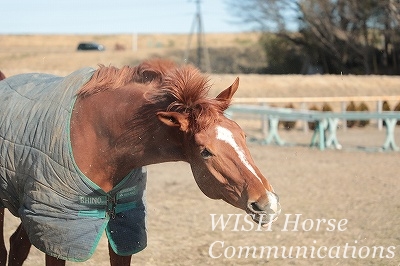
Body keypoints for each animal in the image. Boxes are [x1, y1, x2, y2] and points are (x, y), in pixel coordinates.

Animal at [0, 59, 282, 264]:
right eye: (205, 151)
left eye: (243, 135)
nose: (267, 203)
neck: (95, 136)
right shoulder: (60, 229)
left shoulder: (124, 226)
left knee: (18, 244)